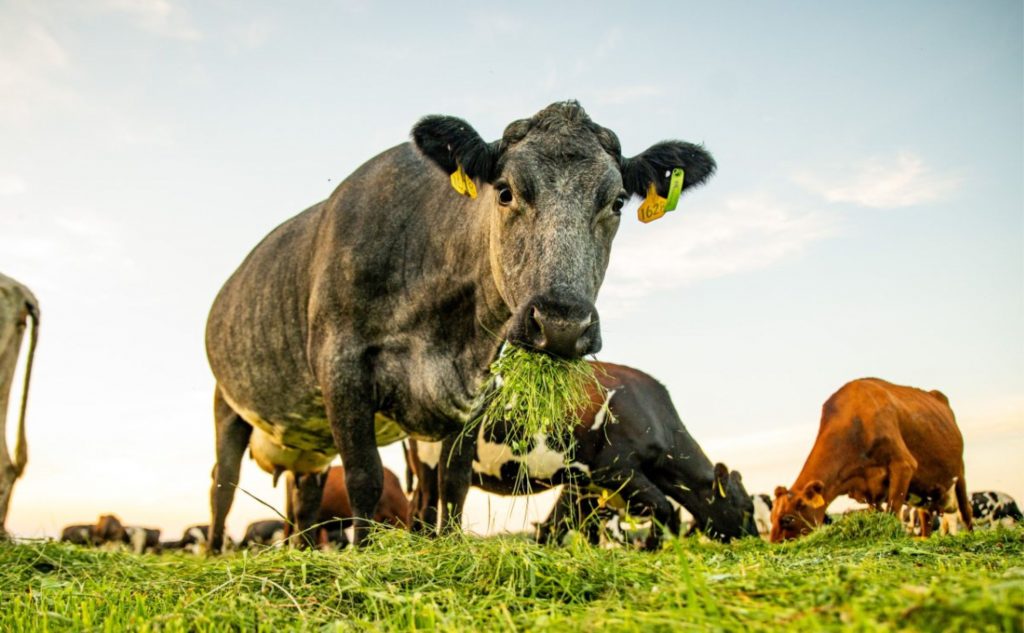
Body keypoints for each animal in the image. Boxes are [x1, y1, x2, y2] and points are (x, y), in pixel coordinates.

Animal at [203, 98, 716, 549]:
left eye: (617, 202)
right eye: (505, 191)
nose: (562, 324)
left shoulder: (474, 388)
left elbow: (454, 483)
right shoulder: (341, 364)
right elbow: (364, 478)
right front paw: (364, 555)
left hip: (309, 444)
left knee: (303, 499)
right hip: (227, 403)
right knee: (222, 487)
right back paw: (214, 552)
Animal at [409, 360, 761, 549]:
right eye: (745, 508)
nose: (756, 541)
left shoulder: (585, 485)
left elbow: (575, 525)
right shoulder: (615, 470)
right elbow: (664, 507)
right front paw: (649, 549)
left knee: (420, 506)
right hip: (440, 455)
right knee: (442, 499)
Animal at [770, 376, 970, 540]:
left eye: (788, 519)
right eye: (771, 517)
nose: (774, 545)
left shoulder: (903, 465)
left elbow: (892, 512)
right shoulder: (868, 490)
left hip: (960, 472)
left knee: (966, 511)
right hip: (924, 493)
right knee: (926, 521)